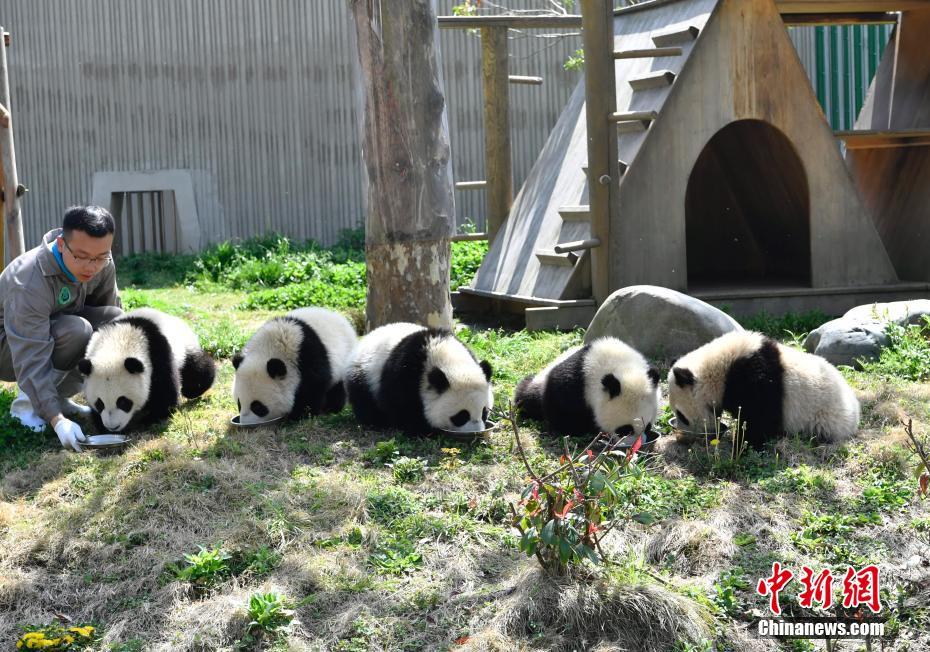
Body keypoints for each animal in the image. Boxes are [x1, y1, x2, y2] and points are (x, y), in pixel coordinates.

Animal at [78, 306, 216, 430]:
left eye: (123, 402)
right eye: (100, 403)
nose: (113, 427)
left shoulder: (157, 353)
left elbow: (165, 388)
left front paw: (153, 418)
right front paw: (101, 425)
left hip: (183, 346)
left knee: (196, 368)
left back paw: (192, 390)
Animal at [344, 322, 492, 436]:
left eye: (484, 412)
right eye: (461, 416)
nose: (475, 432)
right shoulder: (404, 372)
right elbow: (401, 405)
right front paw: (422, 429)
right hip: (364, 372)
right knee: (363, 398)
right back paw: (376, 421)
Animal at [516, 336, 660, 438]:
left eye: (648, 426)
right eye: (625, 429)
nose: (637, 444)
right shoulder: (575, 383)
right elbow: (565, 415)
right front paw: (590, 427)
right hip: (538, 382)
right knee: (526, 395)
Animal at [668, 332, 856, 448]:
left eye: (682, 416)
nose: (685, 435)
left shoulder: (755, 379)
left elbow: (760, 416)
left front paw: (744, 444)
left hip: (825, 417)